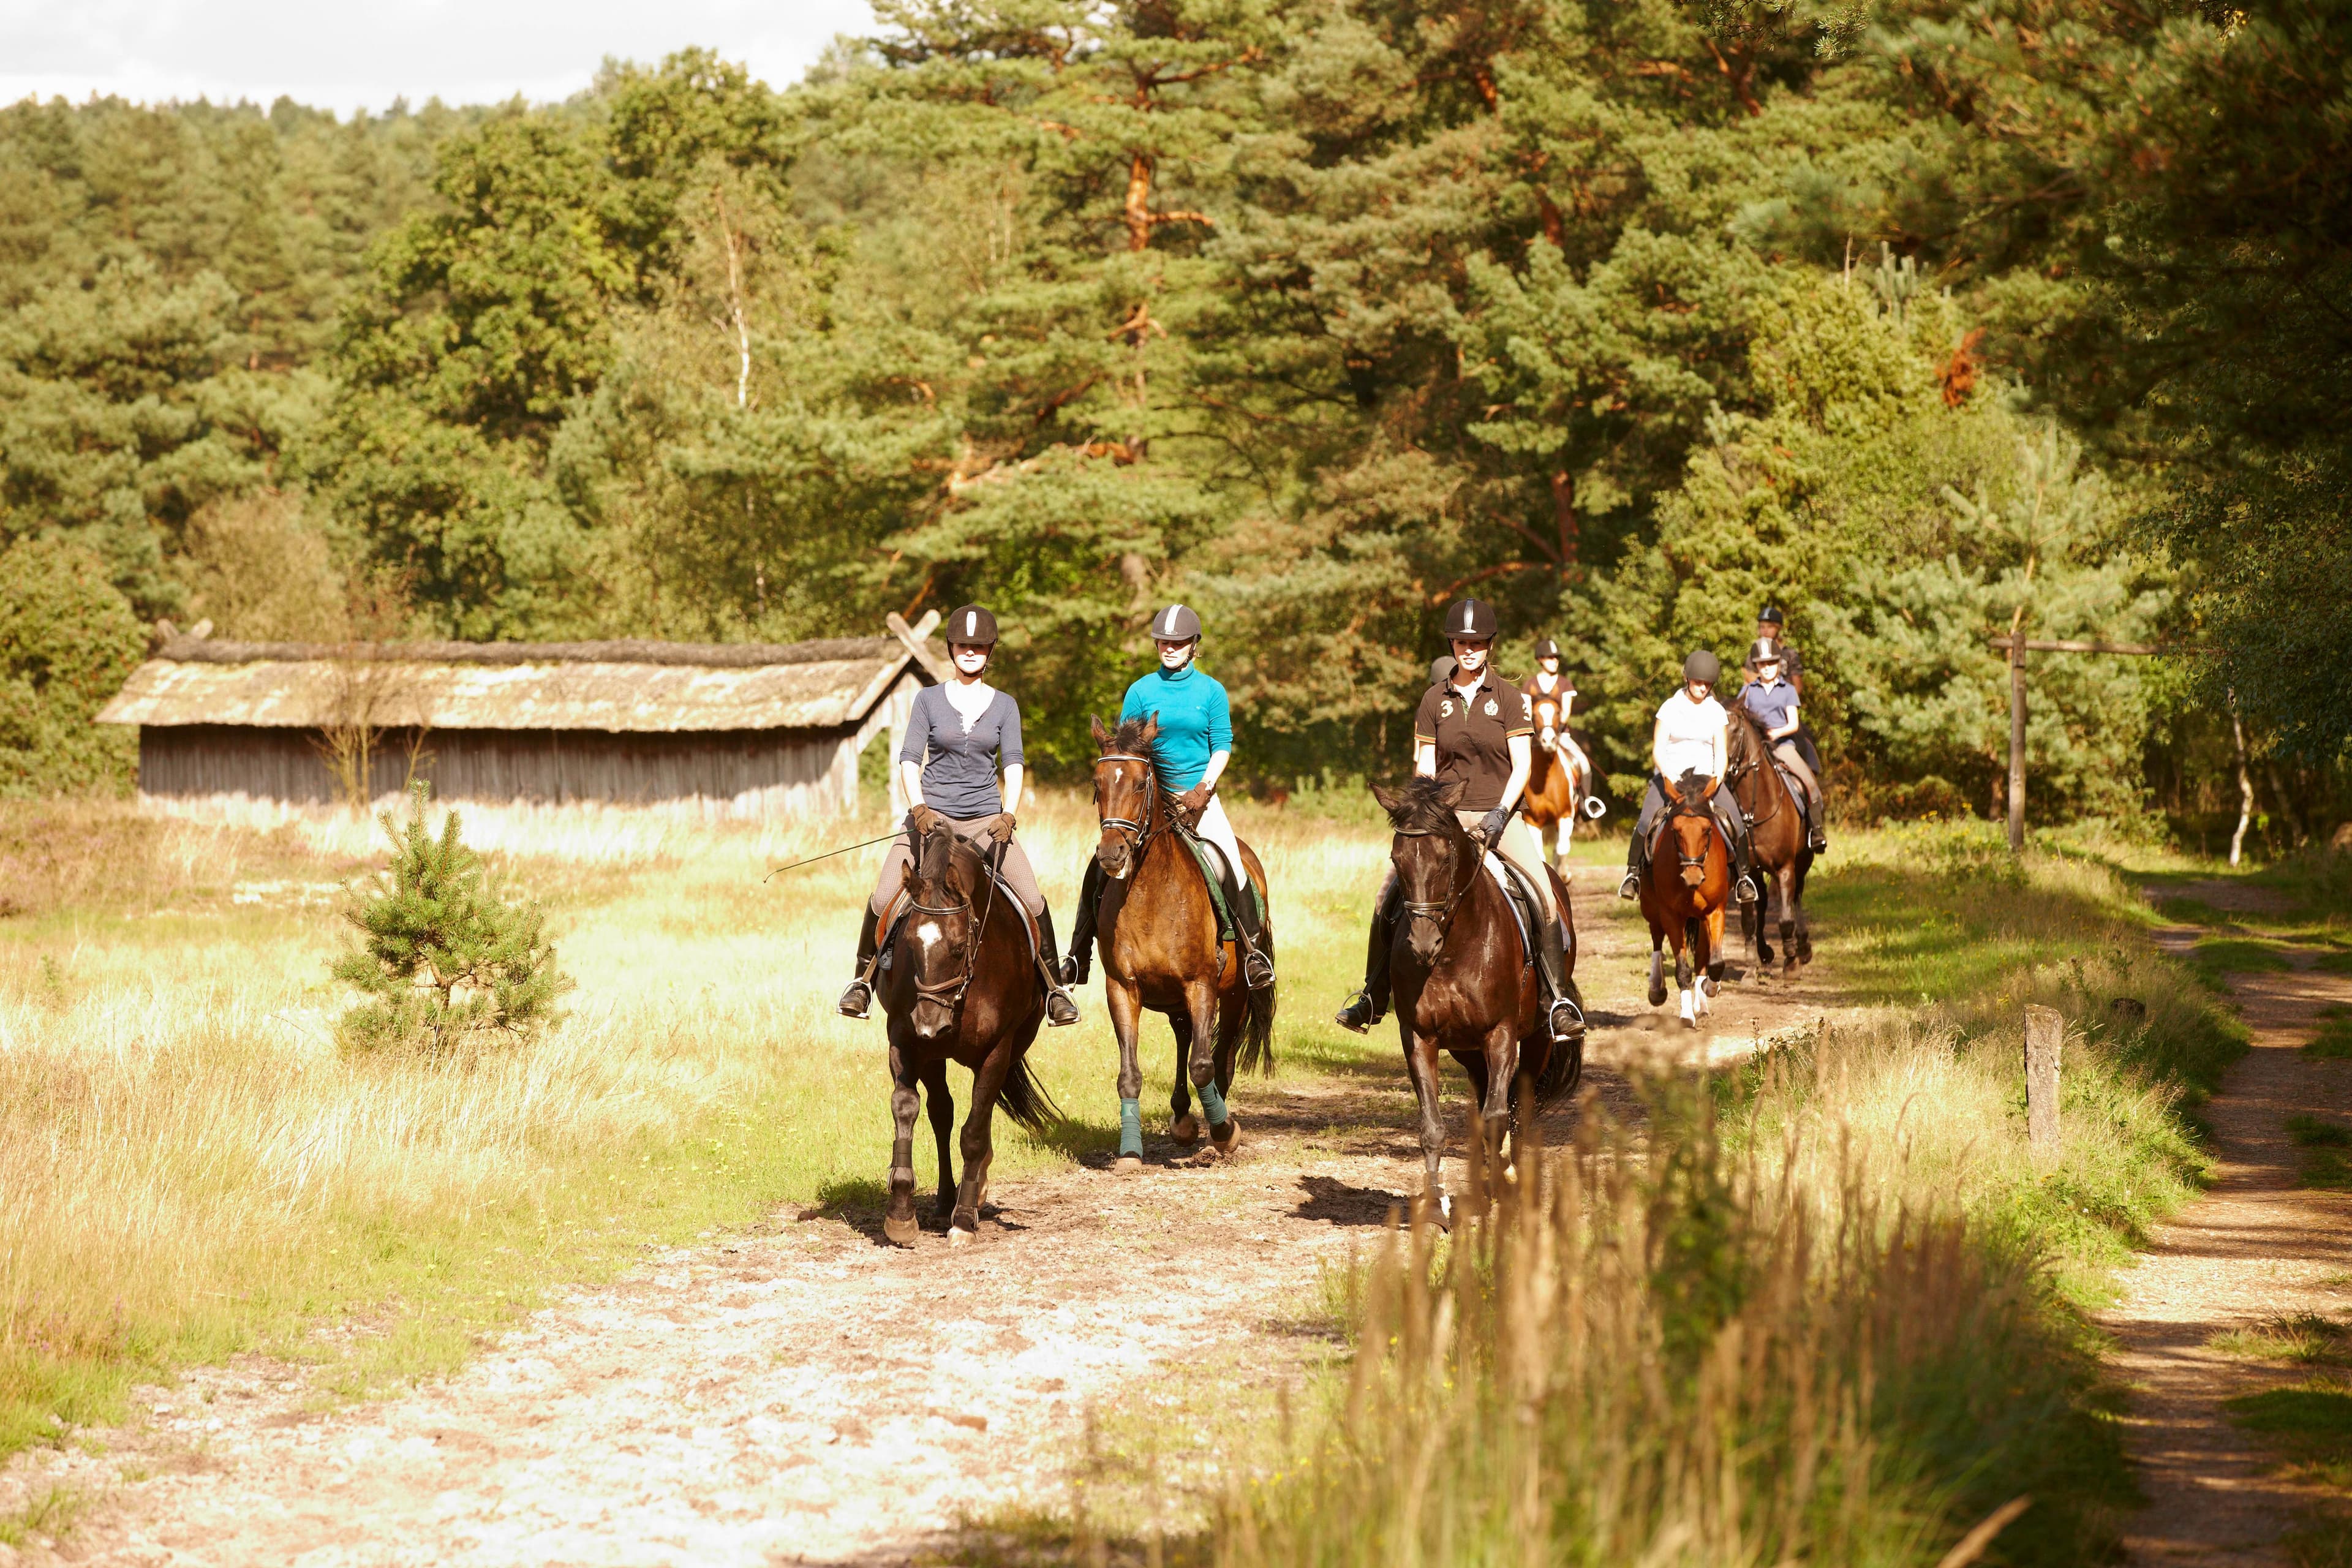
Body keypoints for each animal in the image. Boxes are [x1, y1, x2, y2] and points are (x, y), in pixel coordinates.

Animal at [880, 818, 1063, 1241]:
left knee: (980, 1114)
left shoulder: (997, 1049)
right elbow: (907, 1108)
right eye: (908, 942)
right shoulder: (905, 1041)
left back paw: (972, 1194)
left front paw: (963, 1220)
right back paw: (948, 1197)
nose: (930, 1024)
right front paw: (901, 1214)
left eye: (959, 947)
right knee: (941, 1114)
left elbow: (975, 1132)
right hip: (934, 1056)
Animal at [1087, 719, 1279, 1170]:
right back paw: (1183, 1119)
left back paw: (1212, 1134)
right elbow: (1130, 1075)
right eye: (1097, 784)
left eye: (1141, 784)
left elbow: (1205, 1066)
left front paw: (1225, 1133)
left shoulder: (1201, 985)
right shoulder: (1122, 989)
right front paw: (1130, 1153)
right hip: (1176, 1000)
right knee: (1183, 1037)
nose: (1111, 853)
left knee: (1220, 1058)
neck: (1151, 892)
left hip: (1235, 994)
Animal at [1373, 780, 1580, 1232]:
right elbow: (1433, 1128)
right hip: (1465, 1050)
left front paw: (1500, 1192)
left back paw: (1512, 1177)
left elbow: (1498, 1117)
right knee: (1487, 1090)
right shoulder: (1420, 1038)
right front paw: (1437, 1208)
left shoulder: (1500, 1034)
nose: (1423, 944)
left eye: (1445, 858)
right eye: (1397, 859)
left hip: (1536, 1039)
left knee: (1521, 1105)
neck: (1454, 948)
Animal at [1646, 771, 1740, 1030]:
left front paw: (1710, 988)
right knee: (1656, 938)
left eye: (1707, 830)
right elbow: (1682, 970)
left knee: (1702, 956)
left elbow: (1715, 962)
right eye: (1676, 831)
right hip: (1651, 908)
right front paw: (1687, 1016)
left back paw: (1703, 1004)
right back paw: (1657, 989)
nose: (1693, 877)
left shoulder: (1716, 911)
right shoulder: (1671, 916)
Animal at [1731, 710, 1815, 973]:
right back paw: (1765, 953)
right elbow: (1749, 919)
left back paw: (1803, 948)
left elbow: (1786, 919)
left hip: (1804, 859)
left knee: (1797, 895)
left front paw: (1791, 962)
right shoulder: (1746, 870)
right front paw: (1753, 964)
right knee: (1764, 902)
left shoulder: (1785, 867)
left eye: (1734, 730)